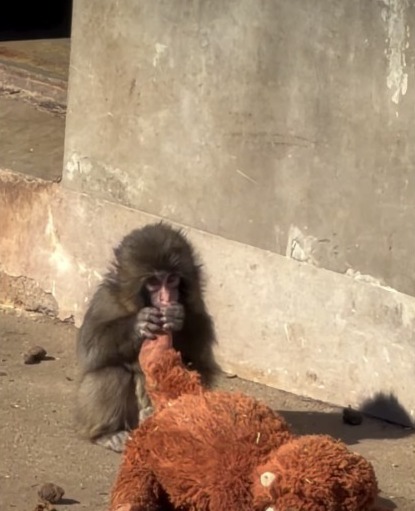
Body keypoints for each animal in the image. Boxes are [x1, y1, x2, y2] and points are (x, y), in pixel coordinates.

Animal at [75, 222, 220, 452]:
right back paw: (108, 434)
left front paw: (177, 318)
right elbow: (88, 349)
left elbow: (200, 362)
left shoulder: (196, 303)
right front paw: (138, 324)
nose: (165, 297)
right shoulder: (106, 299)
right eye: (153, 282)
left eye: (172, 279)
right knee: (112, 372)